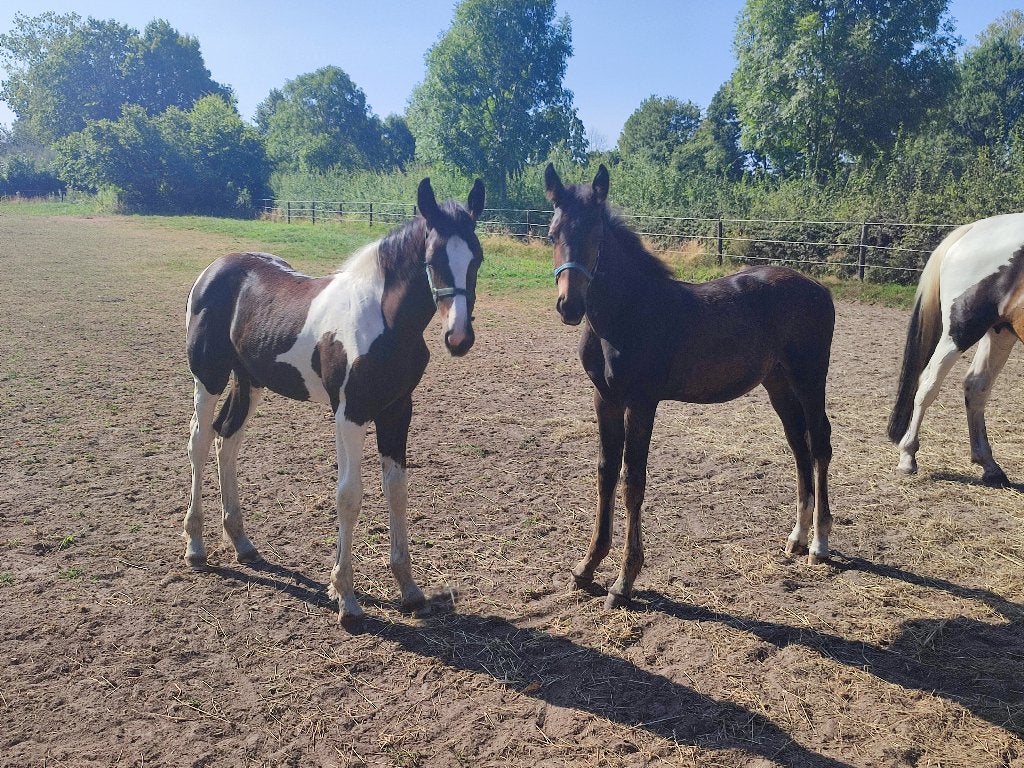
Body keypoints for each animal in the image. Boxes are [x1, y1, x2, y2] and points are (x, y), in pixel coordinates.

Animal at [184, 177, 485, 621]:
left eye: (477, 258)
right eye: (432, 259)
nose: (458, 337)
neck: (385, 323)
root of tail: (214, 269)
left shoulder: (398, 411)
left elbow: (397, 489)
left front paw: (409, 588)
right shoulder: (350, 413)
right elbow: (349, 495)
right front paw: (346, 597)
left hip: (249, 381)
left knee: (228, 439)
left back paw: (241, 542)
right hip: (209, 377)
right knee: (201, 441)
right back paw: (195, 545)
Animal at [544, 164, 835, 608]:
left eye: (595, 234)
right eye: (552, 234)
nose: (569, 306)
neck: (628, 313)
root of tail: (819, 288)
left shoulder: (641, 402)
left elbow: (632, 481)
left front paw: (623, 582)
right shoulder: (604, 399)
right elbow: (605, 474)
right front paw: (586, 566)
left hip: (809, 377)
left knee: (818, 445)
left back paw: (818, 543)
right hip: (778, 384)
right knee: (798, 446)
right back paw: (796, 538)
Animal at [889, 212, 1024, 487]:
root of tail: (974, 228)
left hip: (1000, 331)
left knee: (977, 385)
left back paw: (990, 466)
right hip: (961, 331)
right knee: (928, 383)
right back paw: (907, 458)